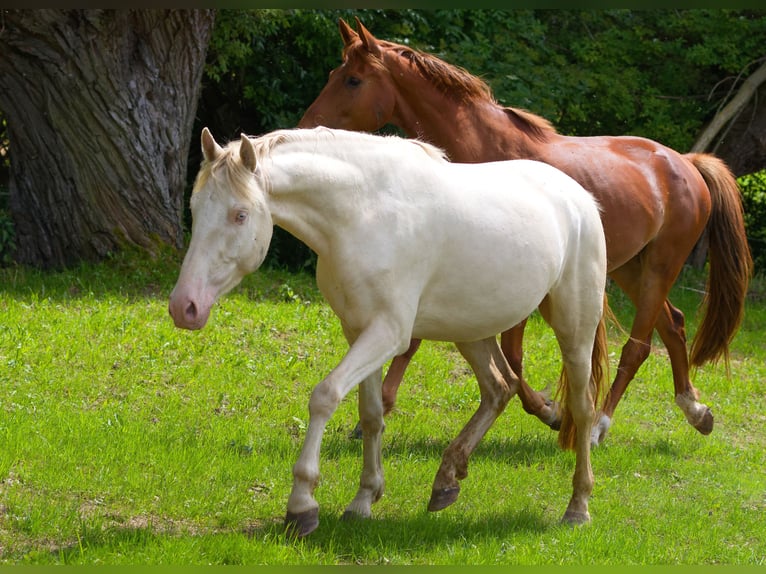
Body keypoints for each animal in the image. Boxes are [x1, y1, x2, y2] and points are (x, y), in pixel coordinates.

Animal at [170, 127, 612, 540]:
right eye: (195, 208)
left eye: (240, 215)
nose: (184, 306)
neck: (363, 213)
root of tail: (581, 200)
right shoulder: (357, 330)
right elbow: (371, 414)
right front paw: (363, 499)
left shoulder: (388, 332)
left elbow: (325, 396)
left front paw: (302, 505)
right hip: (471, 329)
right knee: (499, 387)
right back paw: (446, 481)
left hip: (574, 327)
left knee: (582, 406)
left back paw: (578, 507)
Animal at [302, 15, 756, 444]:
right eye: (335, 73)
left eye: (353, 80)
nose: (308, 127)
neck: (485, 150)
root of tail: (686, 162)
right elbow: (419, 340)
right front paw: (375, 412)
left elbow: (511, 355)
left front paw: (550, 411)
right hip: (631, 268)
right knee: (674, 325)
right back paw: (696, 411)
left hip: (661, 266)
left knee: (638, 346)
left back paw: (600, 426)